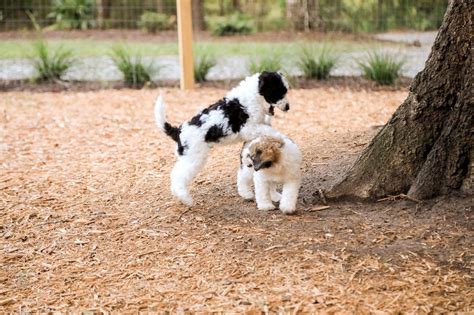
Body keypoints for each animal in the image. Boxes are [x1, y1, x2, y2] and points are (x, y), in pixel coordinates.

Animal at [156, 71, 288, 207]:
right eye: (279, 91)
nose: (287, 107)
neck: (253, 94)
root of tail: (178, 131)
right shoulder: (248, 127)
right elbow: (269, 130)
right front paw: (280, 137)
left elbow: (266, 126)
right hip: (193, 158)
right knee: (178, 176)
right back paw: (185, 198)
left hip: (187, 157)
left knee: (175, 174)